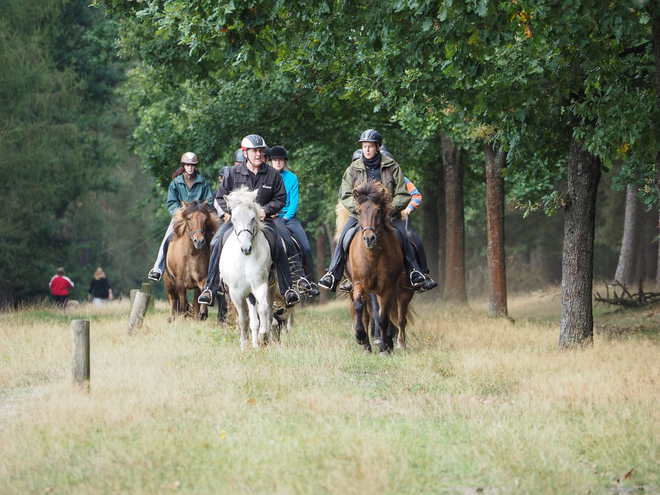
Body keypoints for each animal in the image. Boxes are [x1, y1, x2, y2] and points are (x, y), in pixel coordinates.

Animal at [219, 188, 276, 350]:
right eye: (233, 219)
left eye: (253, 218)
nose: (246, 248)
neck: (244, 260)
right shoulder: (236, 292)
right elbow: (243, 319)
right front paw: (245, 344)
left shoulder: (260, 285)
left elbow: (263, 309)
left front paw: (264, 335)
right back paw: (255, 344)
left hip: (269, 288)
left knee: (268, 312)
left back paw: (266, 340)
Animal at [346, 181, 412, 352]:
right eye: (359, 211)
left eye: (378, 211)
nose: (369, 239)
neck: (373, 256)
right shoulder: (359, 285)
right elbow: (360, 309)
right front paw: (360, 336)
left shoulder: (387, 288)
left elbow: (383, 317)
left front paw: (384, 347)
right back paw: (368, 345)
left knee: (397, 317)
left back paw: (395, 343)